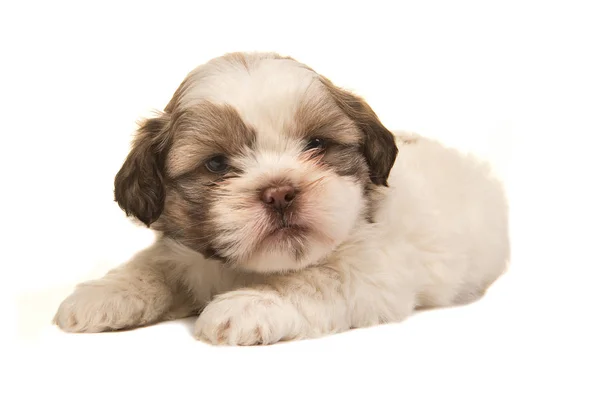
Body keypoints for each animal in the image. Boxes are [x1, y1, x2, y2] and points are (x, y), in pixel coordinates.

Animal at [52, 51, 510, 346]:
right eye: (216, 164)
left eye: (317, 143)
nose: (280, 192)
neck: (246, 269)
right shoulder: (183, 254)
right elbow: (152, 266)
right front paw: (103, 294)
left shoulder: (375, 269)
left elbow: (319, 277)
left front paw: (250, 304)